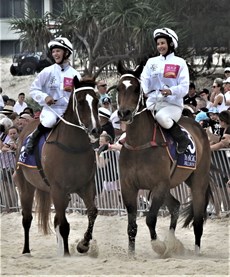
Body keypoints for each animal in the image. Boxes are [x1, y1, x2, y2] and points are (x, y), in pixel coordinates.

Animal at [13, 75, 100, 254]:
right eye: (80, 101)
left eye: (96, 100)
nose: (96, 130)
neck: (73, 147)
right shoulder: (58, 190)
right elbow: (64, 225)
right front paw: (67, 253)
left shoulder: (86, 186)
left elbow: (92, 212)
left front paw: (83, 244)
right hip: (26, 187)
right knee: (27, 218)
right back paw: (26, 250)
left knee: (55, 220)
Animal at [117, 61, 212, 256]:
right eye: (118, 88)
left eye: (136, 89)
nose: (124, 113)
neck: (139, 145)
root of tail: (198, 127)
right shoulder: (128, 186)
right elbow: (132, 225)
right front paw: (131, 254)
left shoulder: (159, 185)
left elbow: (150, 218)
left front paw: (158, 246)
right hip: (170, 184)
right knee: (175, 206)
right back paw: (172, 242)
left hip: (197, 181)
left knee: (198, 220)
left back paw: (195, 250)